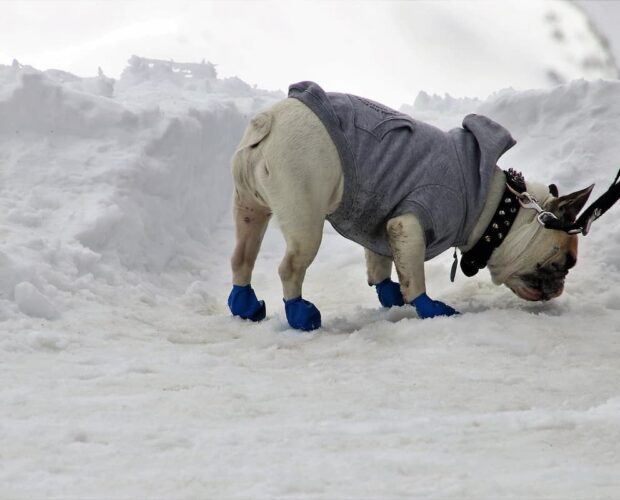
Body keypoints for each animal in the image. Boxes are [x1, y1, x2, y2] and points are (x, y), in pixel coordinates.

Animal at [226, 82, 592, 332]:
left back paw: (245, 305)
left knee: (242, 256)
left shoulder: (382, 221)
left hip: (250, 208)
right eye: (563, 264)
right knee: (290, 267)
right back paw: (300, 314)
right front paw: (429, 308)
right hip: (305, 219)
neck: (498, 209)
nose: (558, 289)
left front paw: (390, 295)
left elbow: (381, 263)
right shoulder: (410, 224)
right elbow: (414, 274)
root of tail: (269, 121)